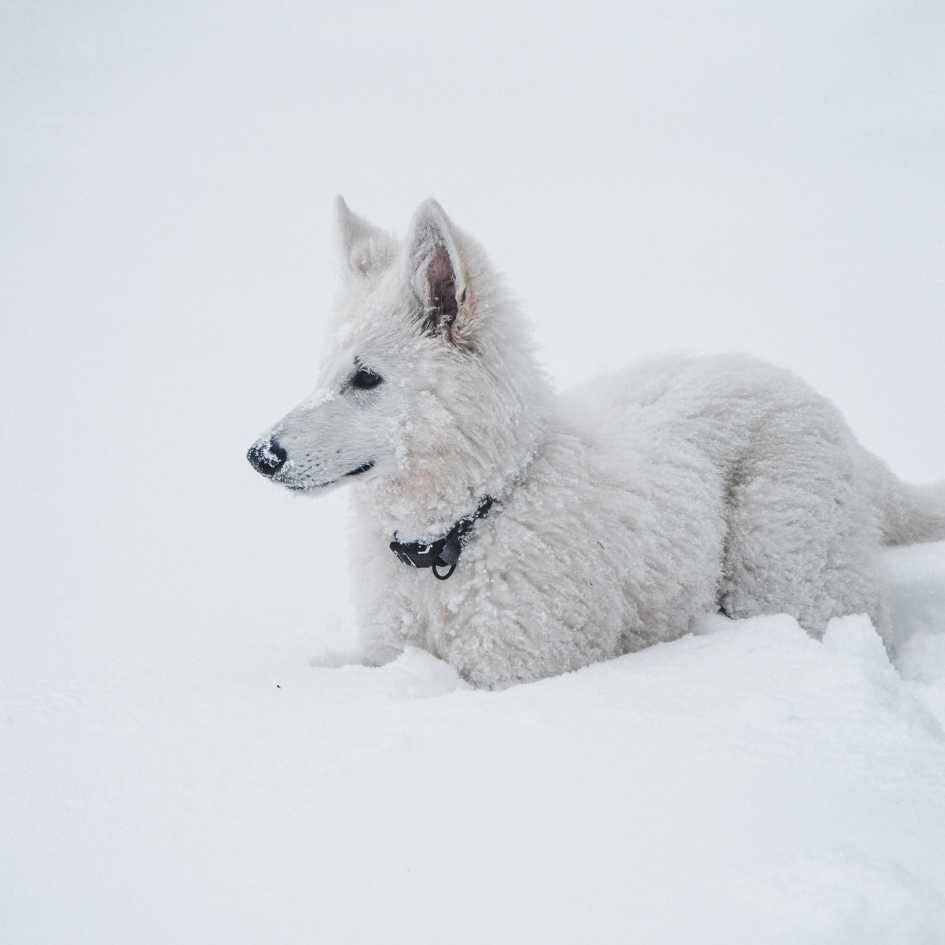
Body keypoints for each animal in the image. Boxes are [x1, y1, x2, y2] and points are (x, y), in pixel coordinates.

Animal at [251, 197, 944, 684]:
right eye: (321, 374)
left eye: (366, 378)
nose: (259, 456)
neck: (468, 524)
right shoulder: (389, 653)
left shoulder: (512, 672)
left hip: (782, 571)